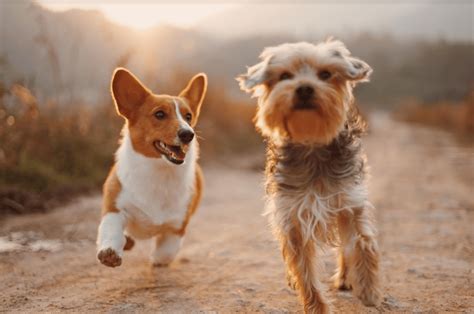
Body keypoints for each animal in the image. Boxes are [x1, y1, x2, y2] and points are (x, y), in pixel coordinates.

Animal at [96, 68, 207, 268]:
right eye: (160, 114)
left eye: (188, 117)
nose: (188, 134)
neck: (159, 171)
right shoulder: (115, 207)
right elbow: (111, 229)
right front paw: (110, 252)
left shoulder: (177, 227)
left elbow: (166, 252)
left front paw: (157, 260)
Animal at [237, 39, 382, 314]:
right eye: (285, 76)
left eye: (325, 74)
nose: (304, 88)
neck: (312, 143)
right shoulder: (292, 216)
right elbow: (303, 268)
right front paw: (317, 306)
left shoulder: (350, 201)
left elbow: (362, 242)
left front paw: (368, 289)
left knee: (345, 247)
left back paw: (346, 278)